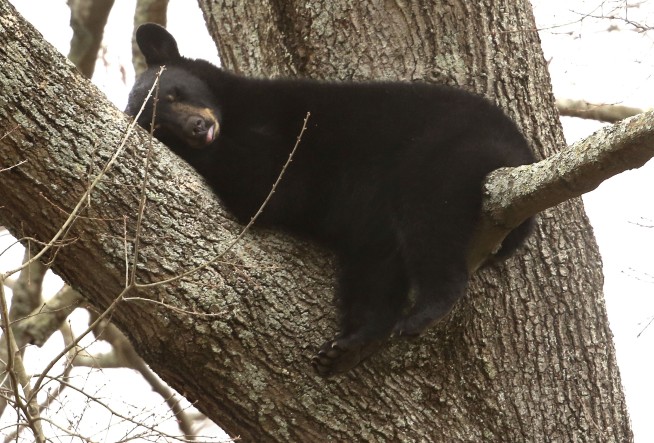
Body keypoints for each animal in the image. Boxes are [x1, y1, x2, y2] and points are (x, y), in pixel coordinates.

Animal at [125, 23, 535, 377]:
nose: (197, 129)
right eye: (159, 125)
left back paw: (425, 310)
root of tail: (519, 150)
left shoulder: (289, 127)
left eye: (176, 93)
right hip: (382, 216)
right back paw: (349, 346)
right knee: (374, 267)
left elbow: (269, 186)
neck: (237, 112)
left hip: (448, 152)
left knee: (430, 222)